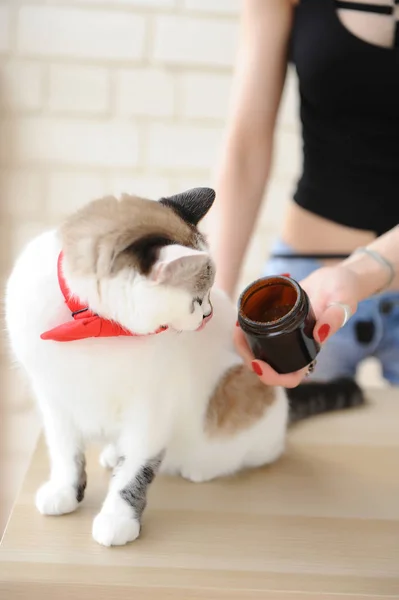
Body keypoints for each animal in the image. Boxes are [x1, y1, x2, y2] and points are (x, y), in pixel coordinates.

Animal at [3, 189, 366, 548]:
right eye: (196, 299)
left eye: (207, 297)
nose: (207, 314)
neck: (95, 327)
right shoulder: (52, 399)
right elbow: (65, 452)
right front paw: (65, 490)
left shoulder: (151, 408)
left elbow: (134, 469)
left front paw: (118, 518)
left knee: (260, 452)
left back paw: (205, 467)